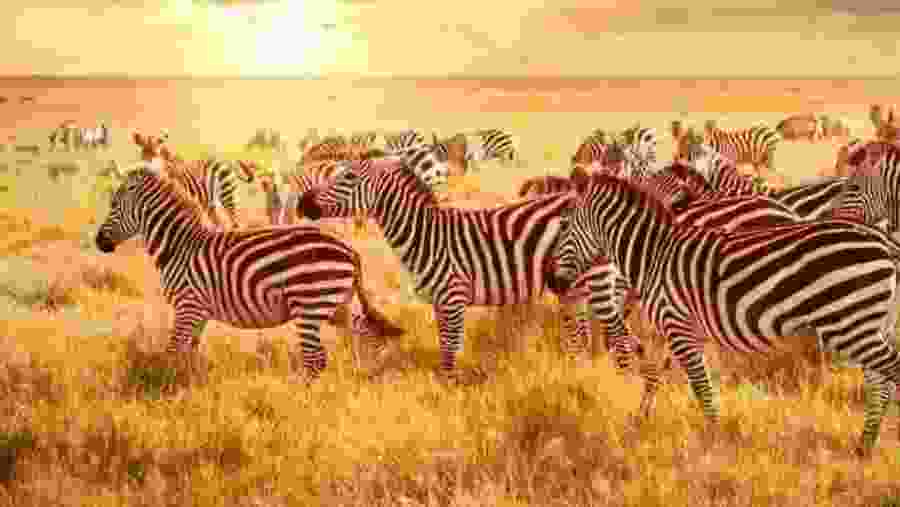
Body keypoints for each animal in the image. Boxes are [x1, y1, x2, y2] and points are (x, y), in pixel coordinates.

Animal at [95, 167, 405, 380]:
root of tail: (350, 249)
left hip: (309, 305)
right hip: (336, 305)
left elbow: (173, 352)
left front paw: (168, 390)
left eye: (113, 205)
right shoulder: (199, 312)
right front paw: (190, 389)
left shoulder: (187, 306)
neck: (179, 246)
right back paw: (365, 378)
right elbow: (189, 354)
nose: (99, 242)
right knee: (365, 334)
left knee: (316, 359)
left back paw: (304, 402)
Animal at [297, 156, 577, 377]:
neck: (428, 237)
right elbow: (444, 349)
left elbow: (450, 352)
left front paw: (451, 393)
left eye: (350, 176)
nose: (302, 202)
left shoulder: (453, 299)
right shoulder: (440, 303)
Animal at [549, 170, 900, 456]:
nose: (553, 283)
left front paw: (712, 436)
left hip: (851, 323)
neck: (654, 256)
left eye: (563, 225)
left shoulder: (678, 326)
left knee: (889, 373)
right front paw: (640, 420)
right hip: (867, 324)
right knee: (879, 383)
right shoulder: (677, 329)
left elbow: (700, 385)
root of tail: (885, 242)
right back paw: (864, 445)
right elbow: (654, 376)